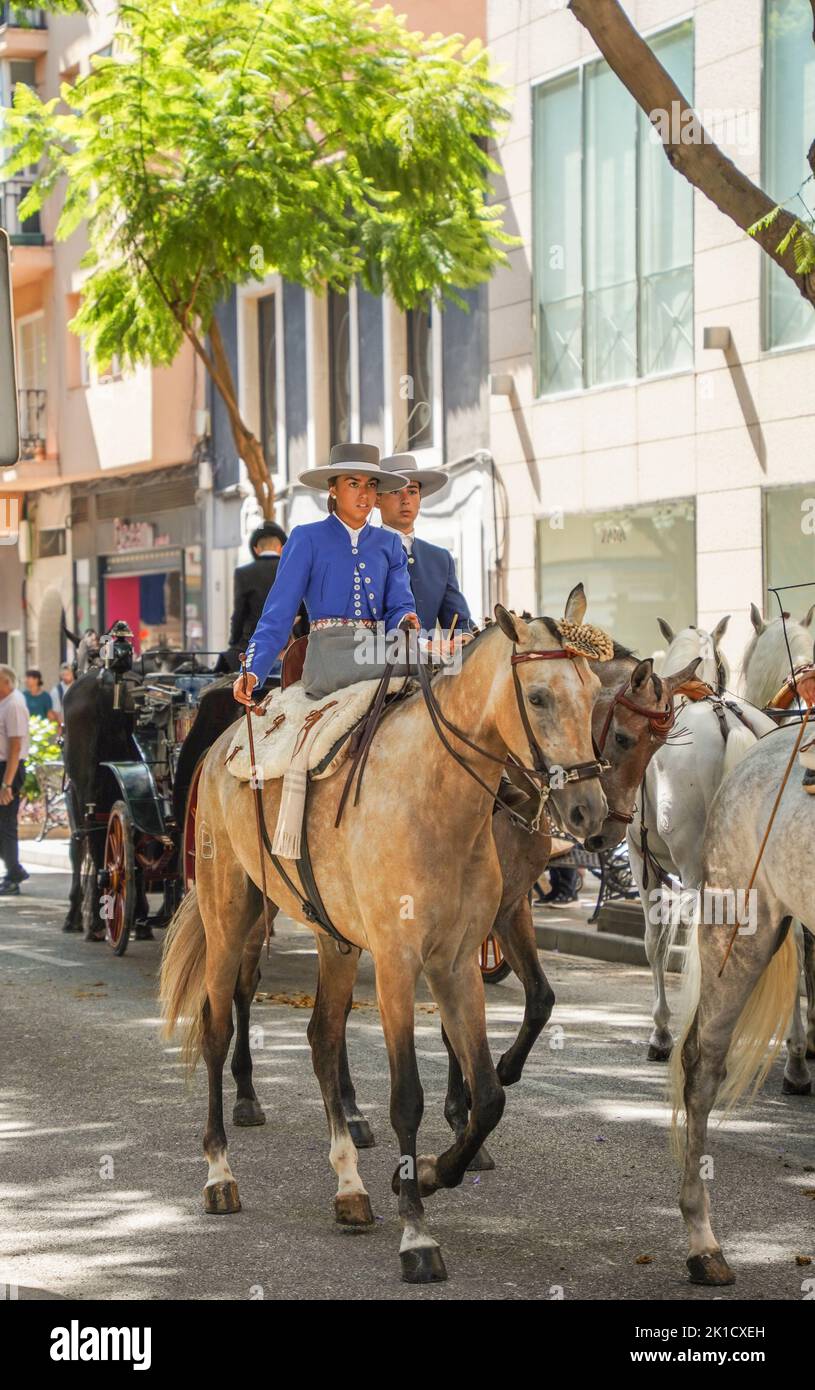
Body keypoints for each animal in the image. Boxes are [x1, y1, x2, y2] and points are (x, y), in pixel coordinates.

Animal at [158, 603, 606, 1284]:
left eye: (594, 692)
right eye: (538, 696)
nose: (589, 812)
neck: (437, 797)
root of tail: (223, 740)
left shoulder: (457, 964)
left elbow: (490, 1096)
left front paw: (433, 1171)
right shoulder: (398, 964)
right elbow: (407, 1099)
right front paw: (416, 1233)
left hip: (335, 940)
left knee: (322, 1038)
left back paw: (350, 1187)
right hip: (229, 914)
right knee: (217, 1030)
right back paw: (220, 1173)